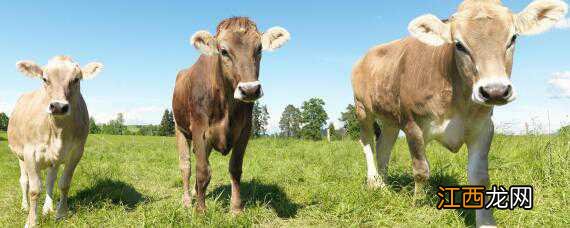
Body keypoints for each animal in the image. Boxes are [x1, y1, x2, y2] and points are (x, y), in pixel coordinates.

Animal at [7, 55, 102, 226]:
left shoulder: (76, 152)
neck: (58, 130)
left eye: (76, 79)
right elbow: (34, 189)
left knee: (50, 180)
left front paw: (61, 214)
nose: (58, 106)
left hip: (54, 160)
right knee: (24, 180)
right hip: (20, 156)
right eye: (45, 79)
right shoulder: (29, 152)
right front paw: (31, 221)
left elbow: (64, 183)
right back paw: (25, 206)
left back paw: (48, 208)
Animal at [171, 16, 288, 214]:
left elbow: (235, 169)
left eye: (259, 49)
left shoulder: (245, 130)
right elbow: (202, 171)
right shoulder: (199, 129)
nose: (250, 90)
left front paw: (236, 209)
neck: (226, 104)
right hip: (180, 128)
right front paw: (201, 211)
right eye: (223, 51)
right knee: (186, 165)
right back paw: (187, 200)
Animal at [350, 0, 564, 226]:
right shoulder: (412, 124)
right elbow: (421, 170)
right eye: (459, 45)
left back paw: (384, 185)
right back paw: (374, 182)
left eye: (513, 38)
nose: (495, 91)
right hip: (362, 109)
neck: (458, 102)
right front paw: (418, 205)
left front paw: (486, 222)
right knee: (367, 142)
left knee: (384, 146)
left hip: (391, 118)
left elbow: (480, 177)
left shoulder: (483, 128)